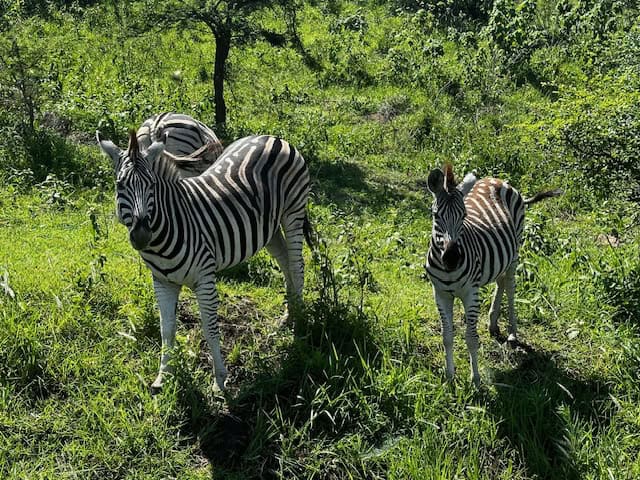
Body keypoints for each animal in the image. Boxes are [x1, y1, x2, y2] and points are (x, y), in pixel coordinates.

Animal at [95, 130, 312, 390]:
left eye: (152, 185)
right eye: (120, 185)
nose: (141, 235)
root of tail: (272, 137)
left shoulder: (205, 279)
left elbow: (210, 329)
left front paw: (220, 380)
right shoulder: (162, 282)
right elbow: (166, 330)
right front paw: (163, 376)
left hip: (293, 211)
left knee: (297, 264)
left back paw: (299, 321)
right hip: (267, 226)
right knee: (284, 260)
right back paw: (289, 316)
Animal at [428, 165, 564, 386]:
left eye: (464, 215)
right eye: (435, 215)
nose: (452, 258)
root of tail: (499, 180)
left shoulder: (471, 294)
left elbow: (471, 339)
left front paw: (475, 380)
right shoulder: (440, 294)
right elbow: (447, 336)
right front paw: (450, 377)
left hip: (515, 251)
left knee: (509, 287)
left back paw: (512, 333)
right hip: (501, 258)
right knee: (500, 282)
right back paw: (493, 323)